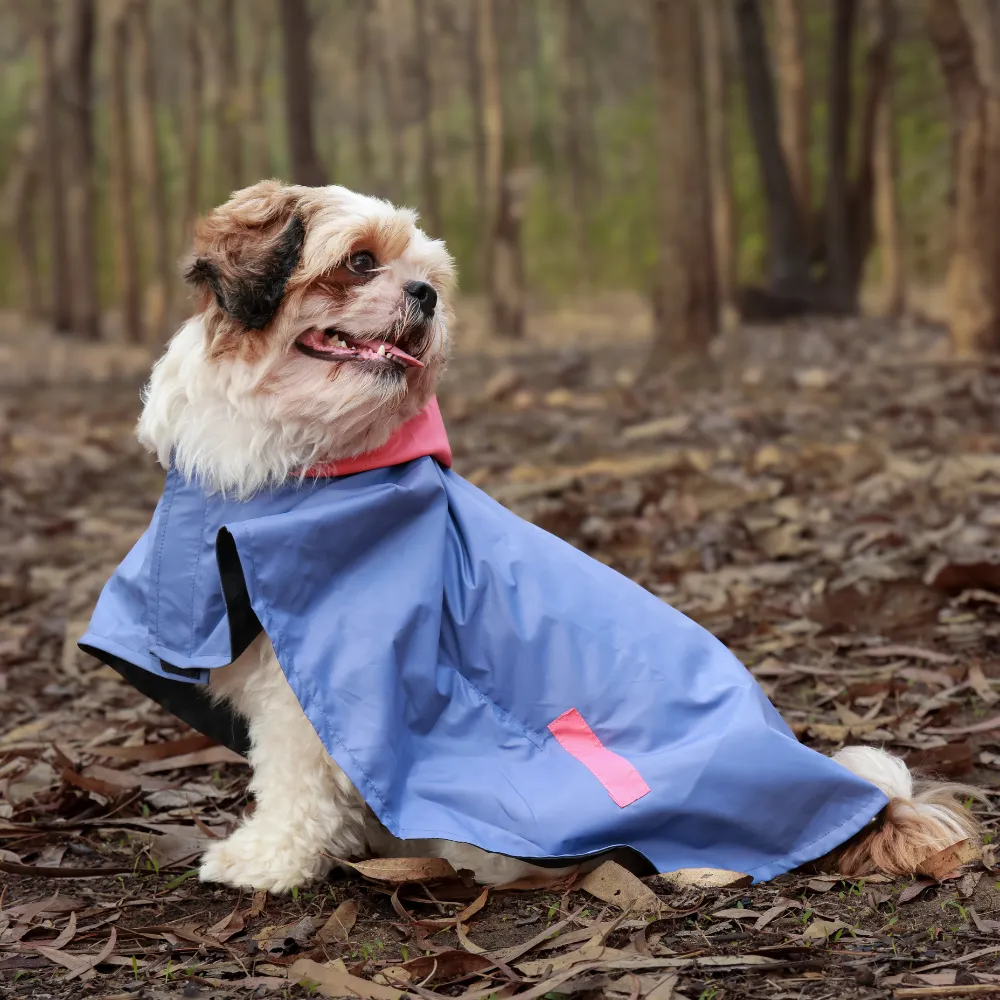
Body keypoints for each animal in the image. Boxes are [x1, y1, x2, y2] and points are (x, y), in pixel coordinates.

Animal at [92, 180, 976, 892]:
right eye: (360, 262)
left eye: (424, 272)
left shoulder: (317, 681)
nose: (426, 295)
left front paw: (266, 860)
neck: (309, 465)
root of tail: (870, 805)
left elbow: (297, 783)